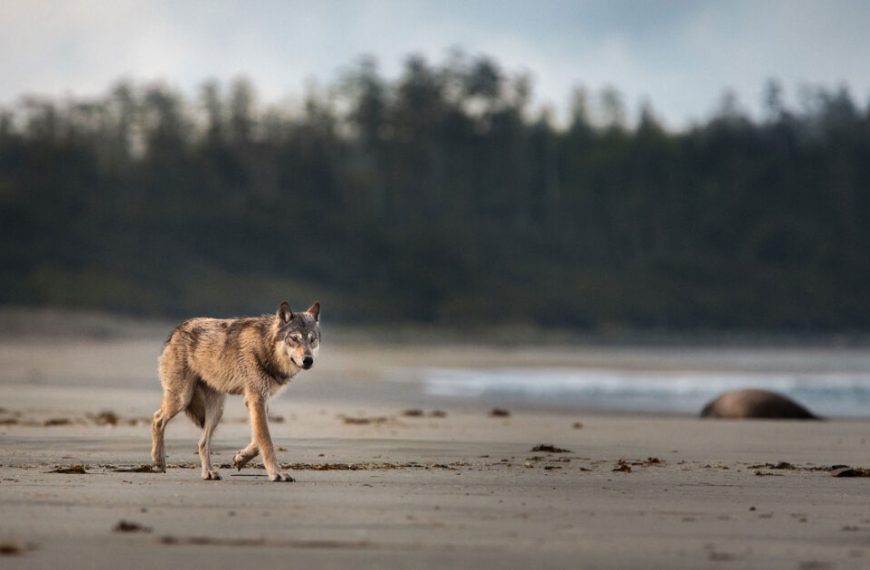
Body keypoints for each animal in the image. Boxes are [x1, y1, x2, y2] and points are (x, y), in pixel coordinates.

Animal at [151, 301, 320, 481]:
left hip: (217, 411)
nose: (308, 360)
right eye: (294, 338)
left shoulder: (260, 400)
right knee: (157, 418)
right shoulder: (256, 399)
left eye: (312, 340)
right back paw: (158, 462)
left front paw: (241, 457)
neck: (264, 347)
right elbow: (266, 441)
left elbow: (258, 438)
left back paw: (208, 472)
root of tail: (177, 329)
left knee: (202, 442)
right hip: (182, 399)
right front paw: (276, 473)